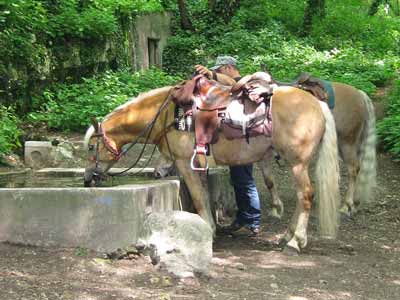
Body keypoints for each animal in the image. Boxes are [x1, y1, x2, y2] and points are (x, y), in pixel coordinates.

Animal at [84, 75, 340, 253]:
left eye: (90, 147)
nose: (87, 179)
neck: (169, 115)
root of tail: (316, 103)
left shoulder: (185, 163)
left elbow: (198, 197)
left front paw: (207, 228)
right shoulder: (198, 165)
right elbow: (204, 195)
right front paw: (211, 228)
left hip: (298, 163)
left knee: (306, 196)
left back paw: (296, 242)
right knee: (301, 197)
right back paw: (287, 236)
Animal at [248, 72, 376, 219]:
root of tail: (360, 94)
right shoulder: (262, 156)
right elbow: (269, 180)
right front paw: (275, 208)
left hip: (346, 143)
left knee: (353, 169)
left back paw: (346, 205)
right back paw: (354, 203)